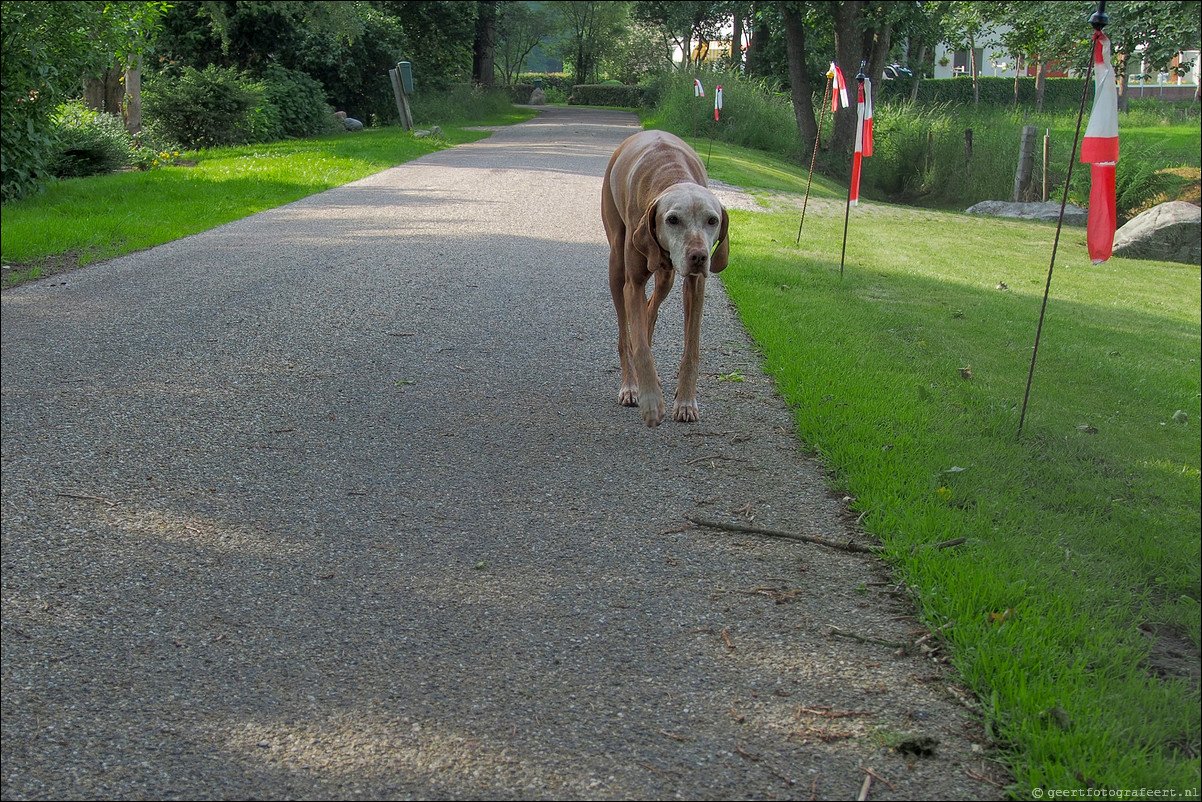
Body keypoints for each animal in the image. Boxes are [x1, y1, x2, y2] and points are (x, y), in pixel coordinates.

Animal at [605, 130, 726, 425]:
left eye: (712, 220)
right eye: (672, 219)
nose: (699, 256)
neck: (672, 174)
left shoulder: (695, 286)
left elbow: (691, 349)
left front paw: (685, 401)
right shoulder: (633, 283)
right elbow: (640, 349)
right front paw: (650, 399)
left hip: (666, 276)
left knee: (651, 310)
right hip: (617, 265)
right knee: (627, 334)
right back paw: (631, 384)